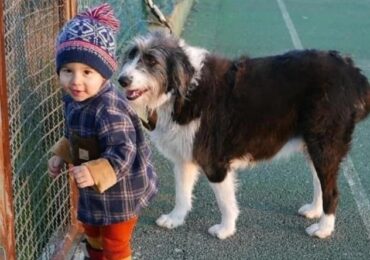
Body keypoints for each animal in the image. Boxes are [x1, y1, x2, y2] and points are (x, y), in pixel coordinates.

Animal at [118, 31, 370, 240]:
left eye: (151, 61)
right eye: (131, 56)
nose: (122, 80)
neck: (185, 89)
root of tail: (352, 72)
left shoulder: (215, 162)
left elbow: (225, 201)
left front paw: (225, 229)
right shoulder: (184, 159)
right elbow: (182, 193)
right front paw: (175, 219)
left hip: (324, 144)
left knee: (332, 191)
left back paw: (324, 228)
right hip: (313, 144)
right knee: (320, 181)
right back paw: (315, 210)